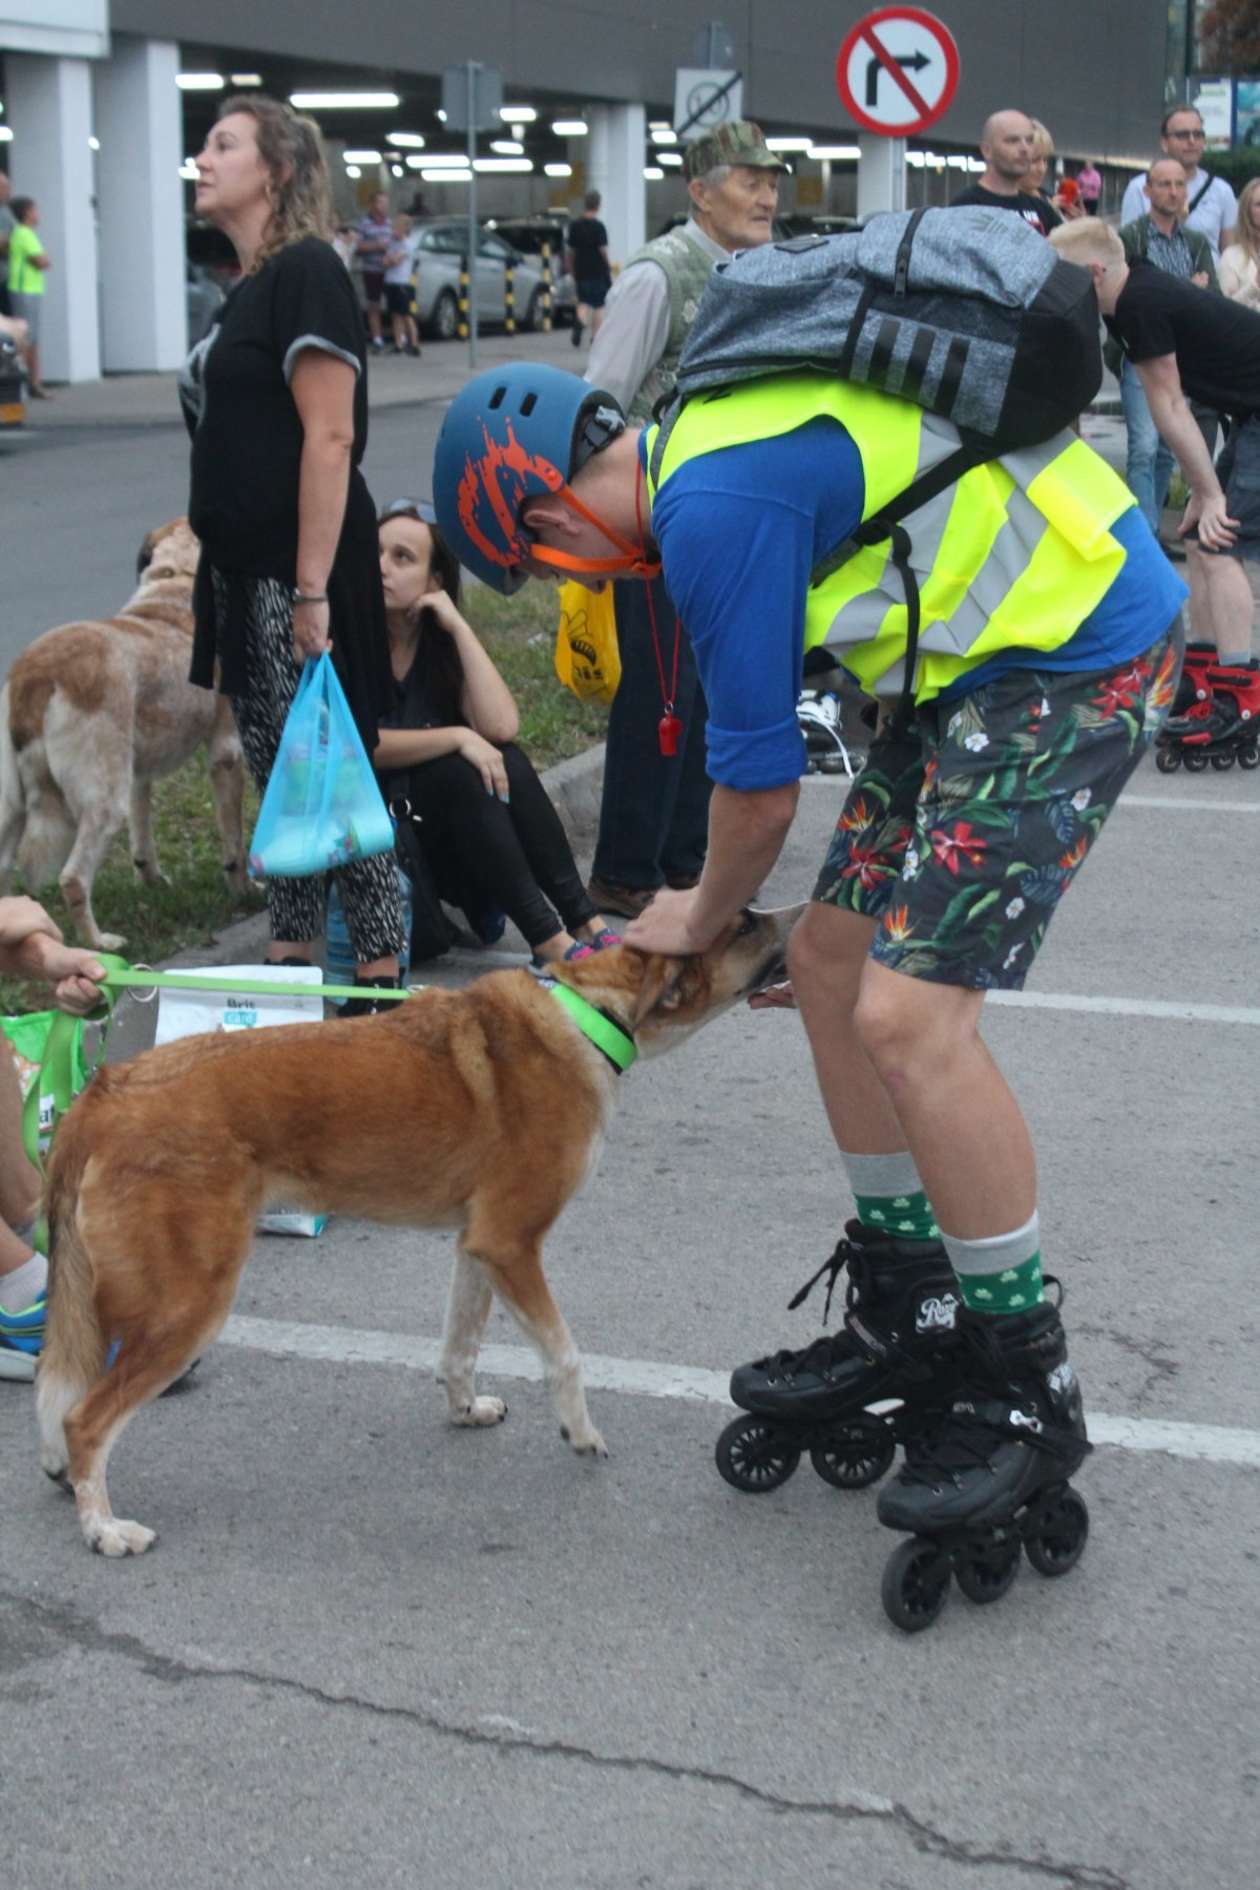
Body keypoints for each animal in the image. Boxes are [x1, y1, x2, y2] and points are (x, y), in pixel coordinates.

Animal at [0, 517, 245, 952]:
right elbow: (236, 844)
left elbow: (143, 837)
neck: (174, 582)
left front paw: (152, 882)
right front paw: (247, 891)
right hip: (102, 804)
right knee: (73, 878)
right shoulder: (226, 752)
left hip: (13, 805)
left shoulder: (137, 772)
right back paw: (99, 944)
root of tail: (37, 673)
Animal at [37, 907, 797, 1557]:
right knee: (85, 1421)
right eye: (745, 923)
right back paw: (104, 1528)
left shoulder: (480, 1247)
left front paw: (465, 1408)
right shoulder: (514, 1244)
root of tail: (104, 1094)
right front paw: (581, 1433)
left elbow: (459, 1347)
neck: (589, 1016)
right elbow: (566, 1356)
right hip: (186, 1306)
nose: (803, 914)